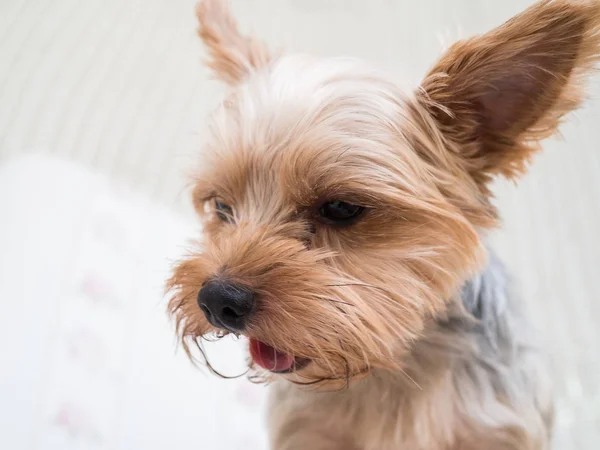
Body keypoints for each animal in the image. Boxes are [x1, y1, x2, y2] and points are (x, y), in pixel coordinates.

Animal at [168, 1, 600, 448]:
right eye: (222, 206)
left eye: (341, 207)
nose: (216, 300)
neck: (393, 364)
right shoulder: (309, 429)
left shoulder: (499, 428)